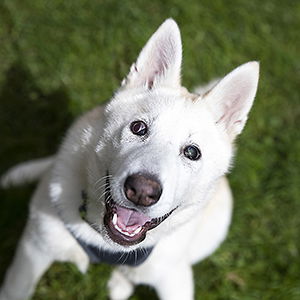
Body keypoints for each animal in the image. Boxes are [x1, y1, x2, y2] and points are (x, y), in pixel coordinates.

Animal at [0, 19, 258, 300]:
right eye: (138, 128)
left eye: (192, 152)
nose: (142, 192)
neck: (107, 248)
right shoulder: (35, 247)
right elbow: (14, 289)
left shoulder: (175, 279)